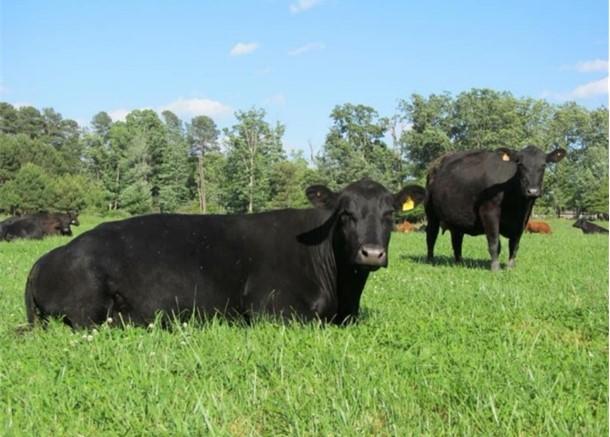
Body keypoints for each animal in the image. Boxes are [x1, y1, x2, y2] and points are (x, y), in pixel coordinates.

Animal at [26, 178, 426, 328]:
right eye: (346, 214)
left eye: (389, 215)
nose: (371, 253)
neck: (341, 292)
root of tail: (49, 257)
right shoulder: (271, 306)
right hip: (88, 306)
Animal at [422, 145, 564, 270]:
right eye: (520, 164)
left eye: (544, 165)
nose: (532, 191)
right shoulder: (489, 211)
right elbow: (495, 242)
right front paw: (495, 268)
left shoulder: (523, 219)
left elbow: (514, 245)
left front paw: (510, 267)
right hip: (431, 213)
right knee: (431, 235)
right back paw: (430, 260)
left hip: (457, 216)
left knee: (457, 239)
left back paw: (459, 262)